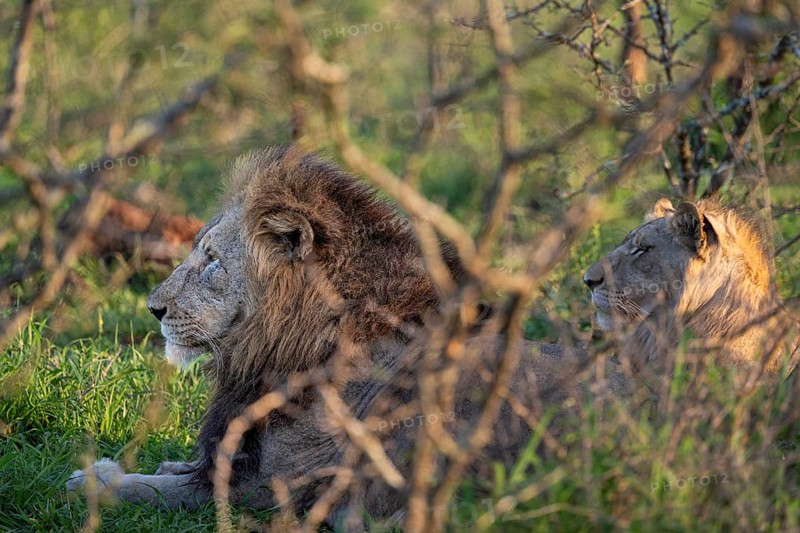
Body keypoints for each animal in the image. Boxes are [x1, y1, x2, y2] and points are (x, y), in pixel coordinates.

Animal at [67, 146, 625, 528]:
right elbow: (182, 467)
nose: (153, 308)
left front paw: (92, 480)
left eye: (213, 261)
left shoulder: (270, 487)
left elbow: (158, 491)